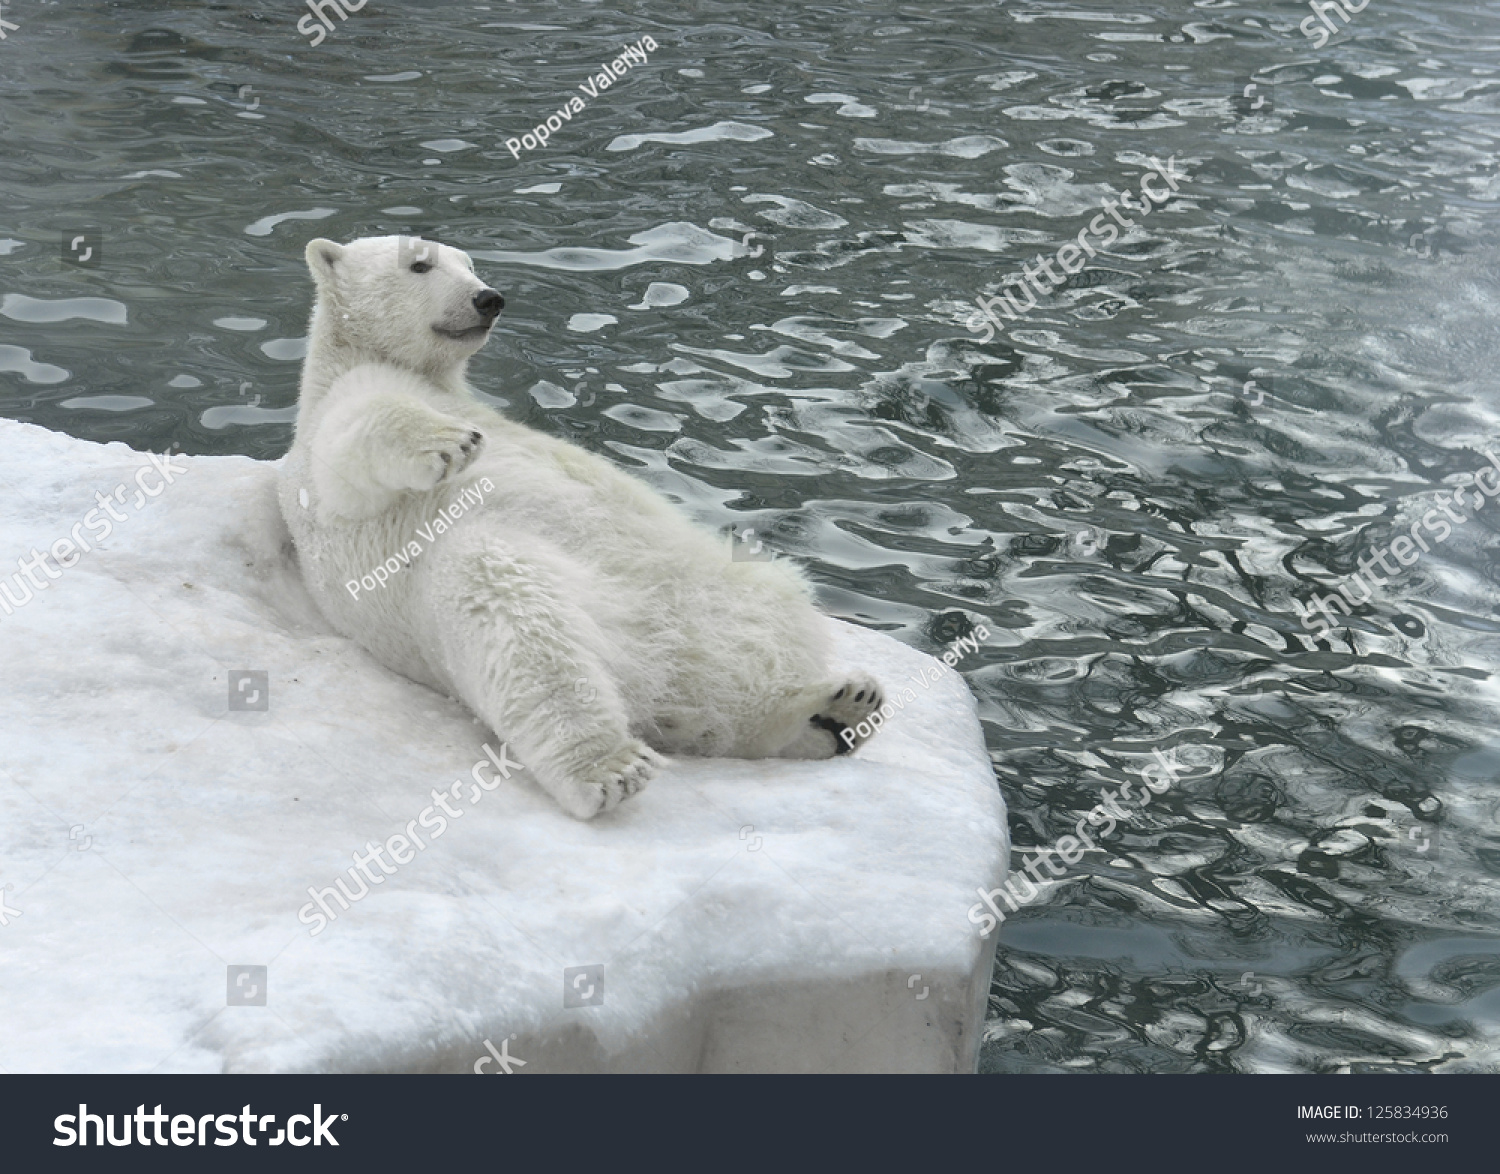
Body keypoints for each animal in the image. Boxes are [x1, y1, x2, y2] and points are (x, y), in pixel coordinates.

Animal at [277, 236, 882, 815]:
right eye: (419, 265)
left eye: (469, 264)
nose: (488, 298)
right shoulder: (330, 430)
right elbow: (356, 442)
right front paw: (451, 441)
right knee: (517, 621)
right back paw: (608, 768)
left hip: (736, 590)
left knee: (736, 687)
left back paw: (841, 706)